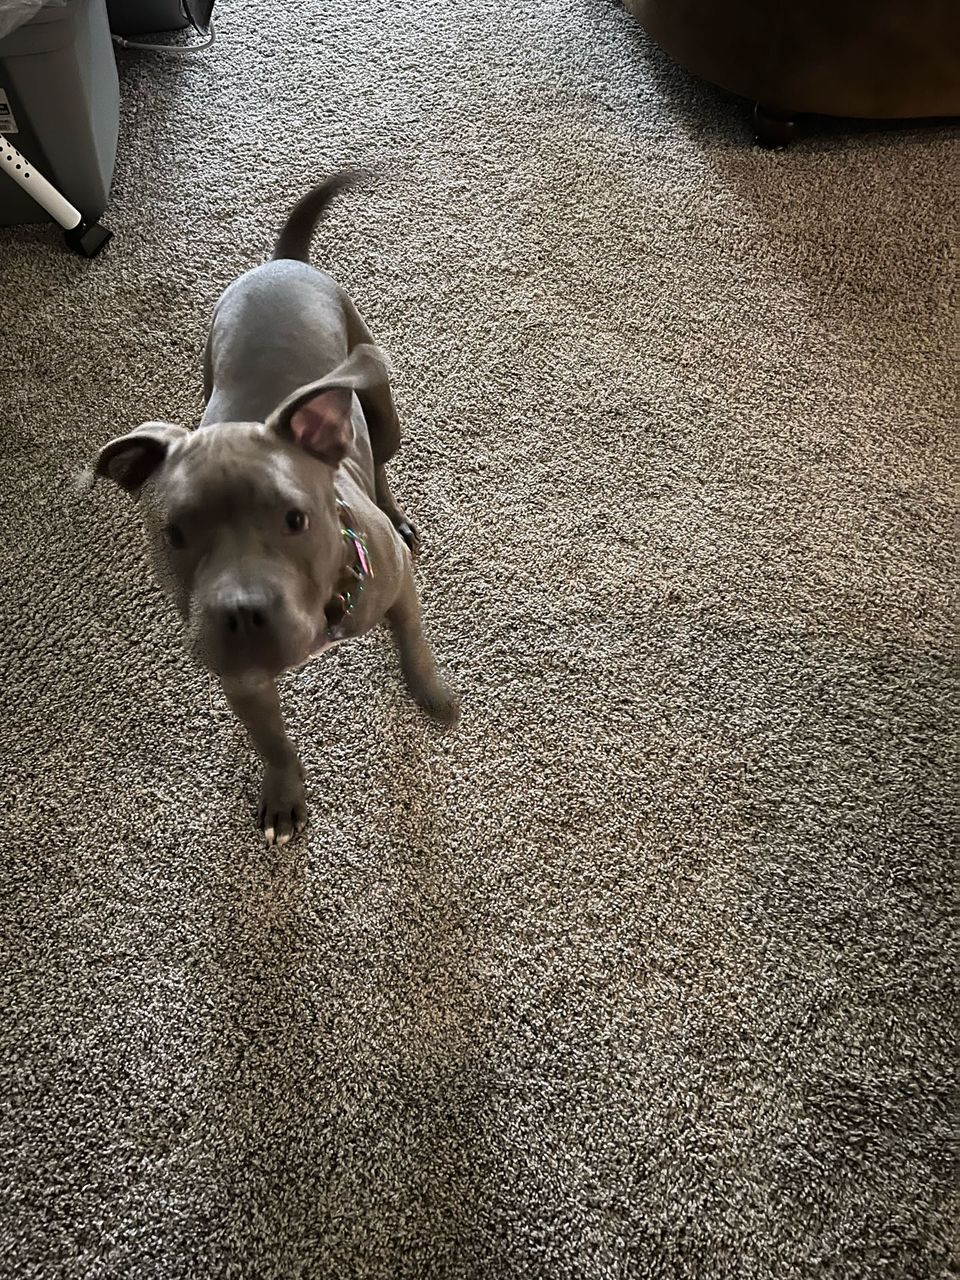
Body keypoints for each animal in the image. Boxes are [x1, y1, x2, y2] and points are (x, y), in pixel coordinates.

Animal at [92, 173, 459, 845]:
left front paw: (430, 693)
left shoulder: (398, 590)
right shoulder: (243, 681)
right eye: (174, 534)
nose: (241, 612)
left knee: (383, 460)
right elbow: (273, 743)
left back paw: (397, 514)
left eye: (295, 520)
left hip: (379, 398)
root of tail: (280, 263)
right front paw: (285, 798)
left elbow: (414, 644)